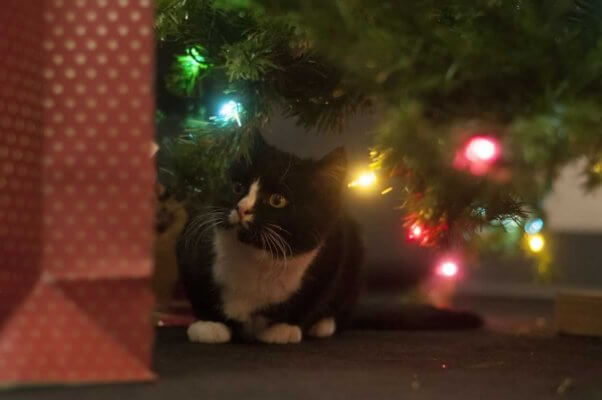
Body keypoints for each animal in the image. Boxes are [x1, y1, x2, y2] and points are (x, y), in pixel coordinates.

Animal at [176, 134, 358, 344]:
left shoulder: (334, 252)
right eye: (238, 187)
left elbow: (314, 298)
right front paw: (209, 324)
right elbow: (197, 286)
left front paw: (283, 328)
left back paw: (324, 325)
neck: (254, 259)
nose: (242, 208)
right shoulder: (192, 241)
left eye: (277, 200)